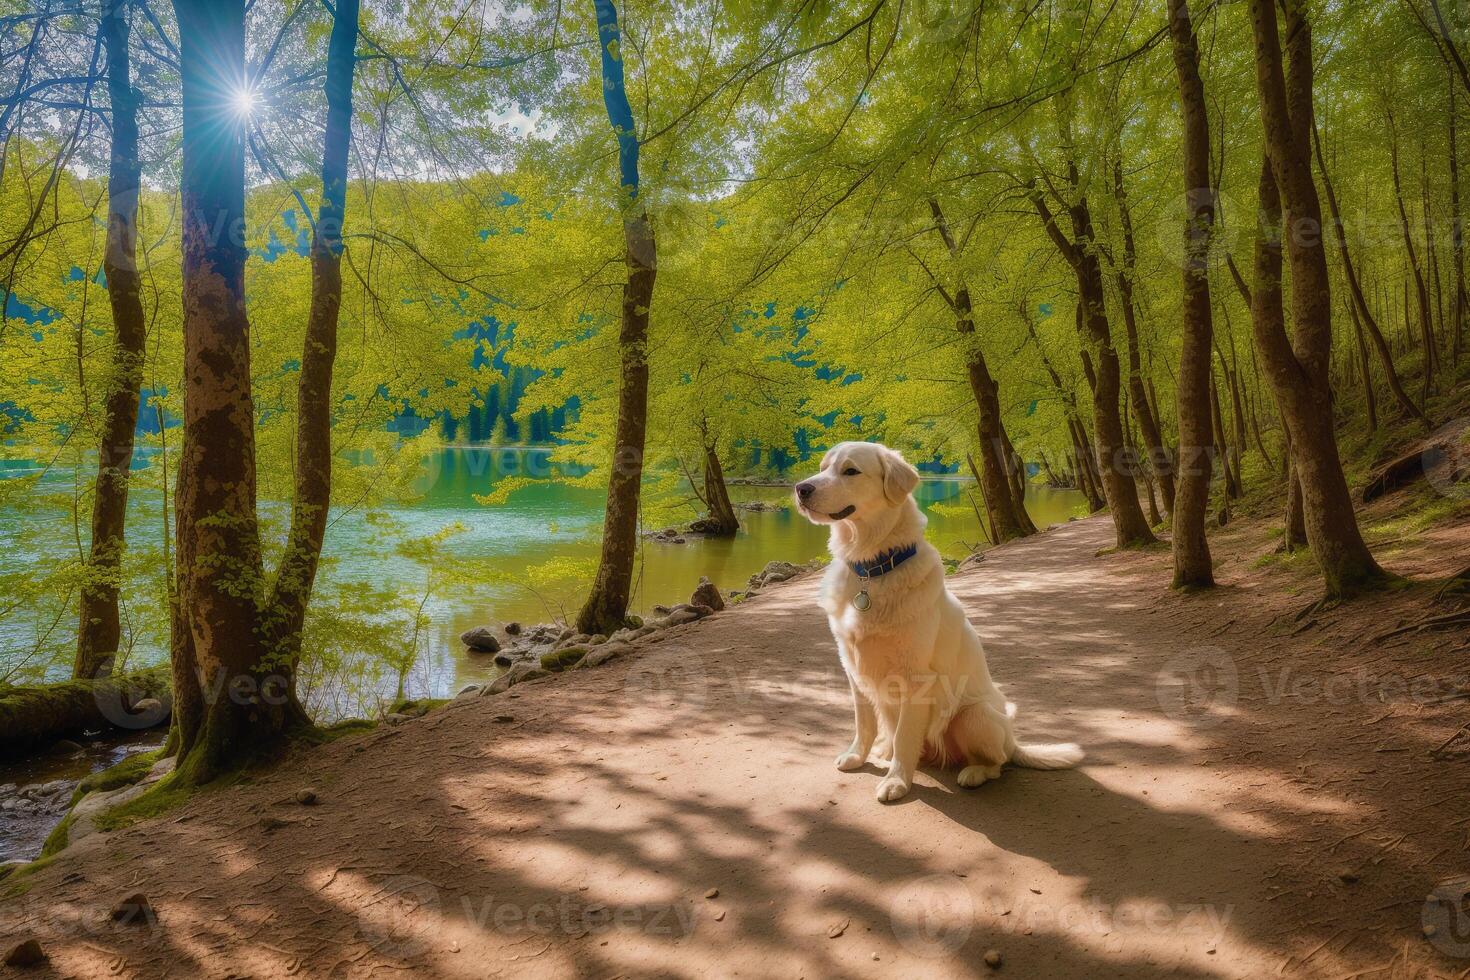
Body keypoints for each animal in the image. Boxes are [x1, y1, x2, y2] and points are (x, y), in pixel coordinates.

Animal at [793, 443, 1081, 805]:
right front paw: (857, 755)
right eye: (822, 468)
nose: (801, 489)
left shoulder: (915, 679)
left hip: (974, 715)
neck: (872, 568)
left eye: (850, 471)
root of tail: (1014, 740)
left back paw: (973, 773)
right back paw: (884, 752)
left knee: (998, 763)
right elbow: (864, 723)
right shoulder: (853, 668)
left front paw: (896, 782)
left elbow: (905, 737)